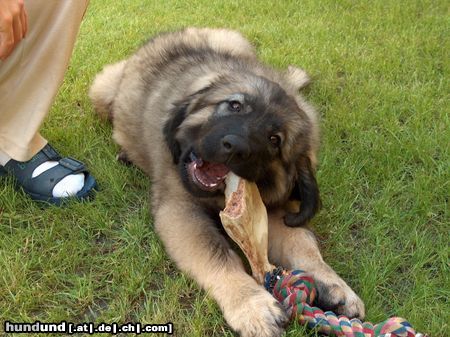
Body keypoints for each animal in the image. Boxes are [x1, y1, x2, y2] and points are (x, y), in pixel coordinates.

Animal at [89, 27, 364, 334]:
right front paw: (252, 305)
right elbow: (216, 254)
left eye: (275, 139)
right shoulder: (179, 208)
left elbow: (301, 242)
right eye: (234, 105)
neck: (216, 197)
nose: (235, 147)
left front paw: (334, 284)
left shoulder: (272, 209)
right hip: (103, 89)